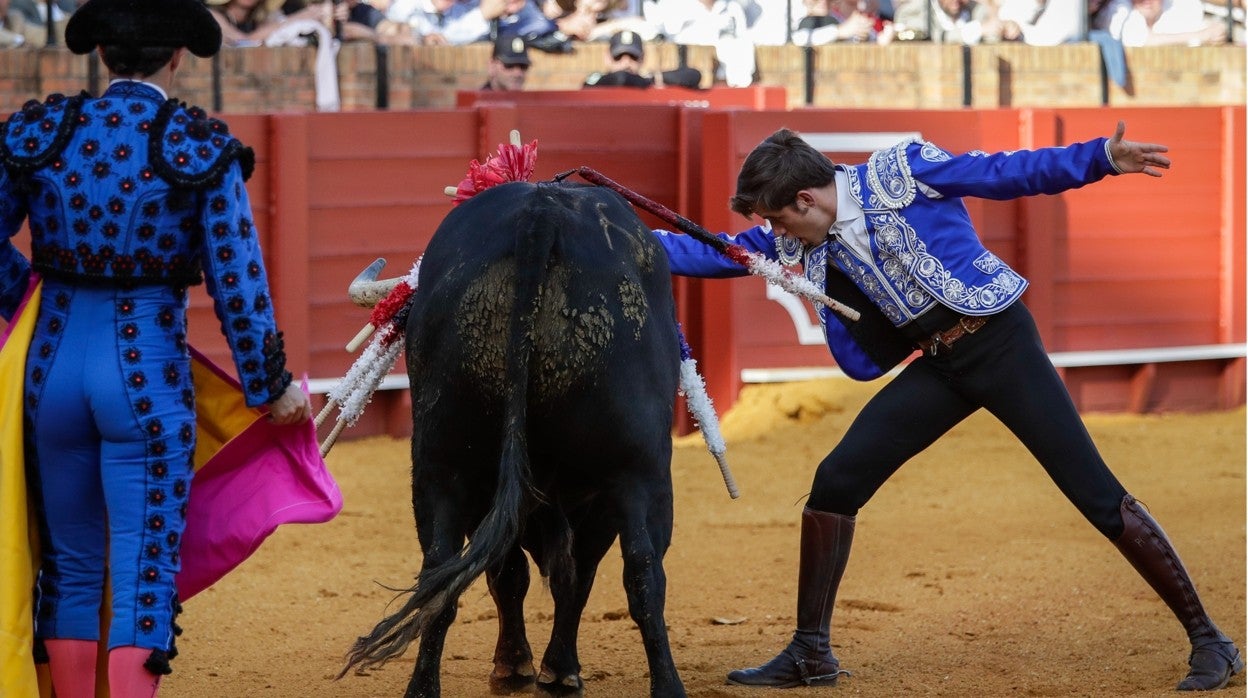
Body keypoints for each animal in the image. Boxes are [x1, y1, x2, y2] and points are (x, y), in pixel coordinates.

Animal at [344, 181, 693, 698]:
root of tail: (540, 212)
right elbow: (575, 577)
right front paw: (552, 670)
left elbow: (512, 572)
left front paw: (525, 667)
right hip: (639, 472)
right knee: (644, 574)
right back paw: (667, 685)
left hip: (443, 464)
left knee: (438, 573)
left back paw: (422, 687)